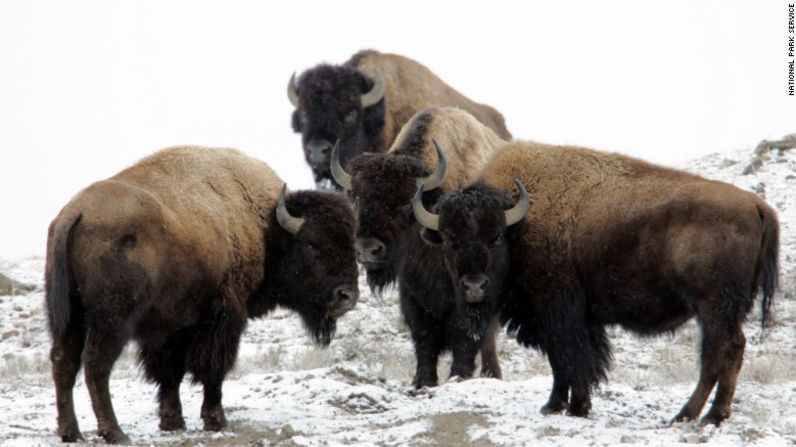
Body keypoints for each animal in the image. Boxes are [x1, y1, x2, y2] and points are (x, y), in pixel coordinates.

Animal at [48, 147, 360, 444]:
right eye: (311, 245)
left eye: (351, 243)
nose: (347, 296)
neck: (264, 227)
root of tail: (76, 214)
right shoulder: (223, 318)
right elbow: (213, 370)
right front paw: (216, 421)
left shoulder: (170, 328)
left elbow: (170, 373)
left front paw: (172, 422)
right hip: (113, 320)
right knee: (96, 365)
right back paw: (115, 433)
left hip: (68, 317)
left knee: (64, 362)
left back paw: (71, 432)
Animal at [332, 107, 506, 386]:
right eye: (357, 199)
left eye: (405, 204)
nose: (368, 249)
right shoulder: (413, 293)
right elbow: (424, 338)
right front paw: (422, 381)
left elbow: (466, 334)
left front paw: (458, 375)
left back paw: (492, 374)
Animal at [414, 142, 780, 426]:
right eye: (450, 240)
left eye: (496, 237)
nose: (474, 286)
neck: (522, 223)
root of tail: (756, 205)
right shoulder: (573, 320)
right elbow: (569, 362)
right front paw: (561, 406)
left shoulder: (558, 315)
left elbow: (569, 360)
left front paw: (569, 407)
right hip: (721, 311)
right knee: (725, 353)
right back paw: (699, 415)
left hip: (714, 307)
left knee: (721, 353)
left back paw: (699, 416)